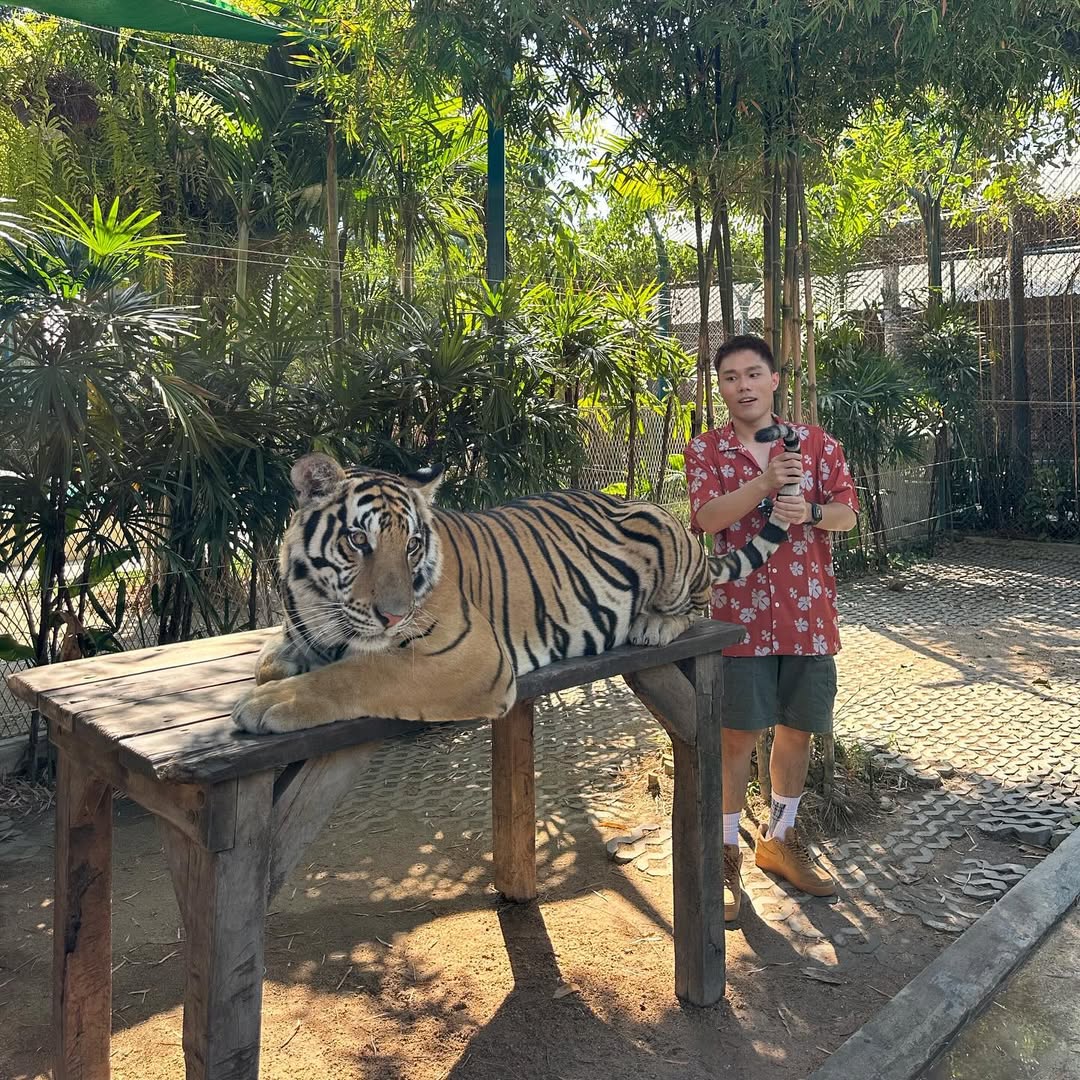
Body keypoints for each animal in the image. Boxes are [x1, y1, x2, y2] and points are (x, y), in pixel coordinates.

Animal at [231, 425, 800, 735]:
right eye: (357, 541)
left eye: (411, 544)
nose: (393, 615)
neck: (320, 604)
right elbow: (271, 659)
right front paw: (278, 673)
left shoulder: (469, 656)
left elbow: (360, 673)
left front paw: (269, 704)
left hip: (673, 551)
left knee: (701, 604)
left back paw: (654, 625)